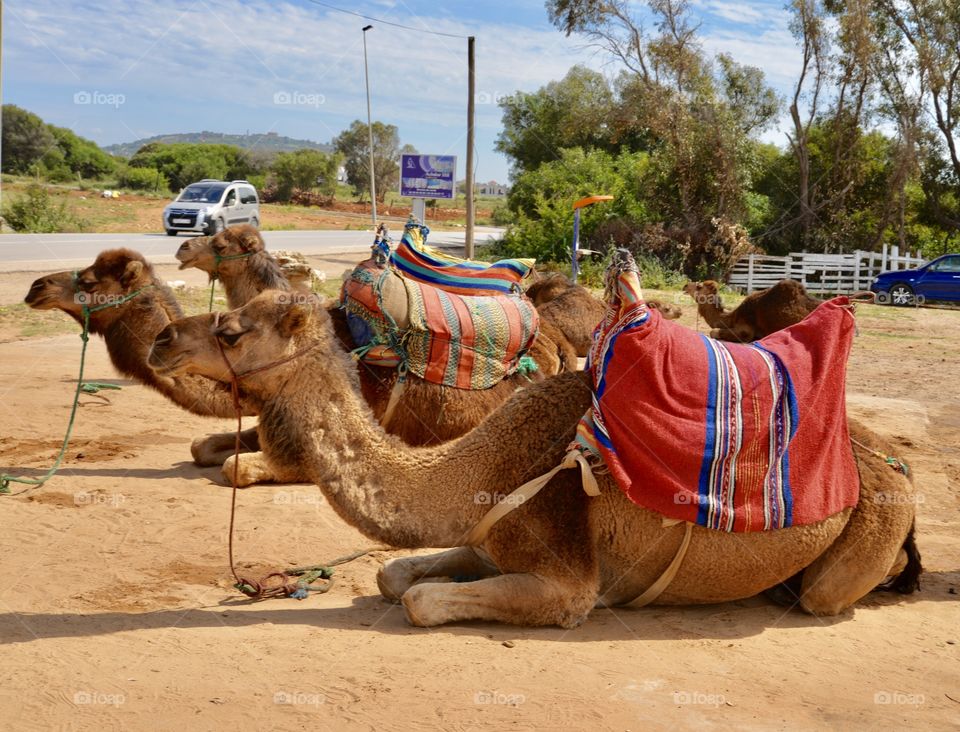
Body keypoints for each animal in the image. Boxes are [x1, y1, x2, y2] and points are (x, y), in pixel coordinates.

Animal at [148, 294, 924, 628]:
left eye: (230, 329)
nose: (160, 339)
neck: (487, 471)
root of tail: (891, 466)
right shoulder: (486, 533)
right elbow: (395, 573)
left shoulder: (566, 575)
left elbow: (423, 601)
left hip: (866, 536)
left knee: (827, 594)